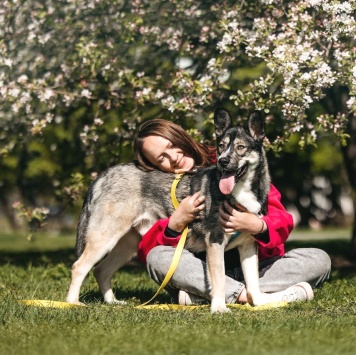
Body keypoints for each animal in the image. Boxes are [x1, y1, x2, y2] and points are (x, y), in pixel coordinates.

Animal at [67, 109, 272, 314]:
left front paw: (260, 304)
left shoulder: (248, 245)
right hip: (105, 237)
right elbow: (220, 279)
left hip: (127, 244)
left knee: (101, 271)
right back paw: (72, 303)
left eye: (240, 147)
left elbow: (253, 284)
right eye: (221, 146)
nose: (222, 161)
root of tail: (102, 176)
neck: (239, 193)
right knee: (79, 267)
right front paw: (219, 309)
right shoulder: (215, 240)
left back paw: (113, 302)